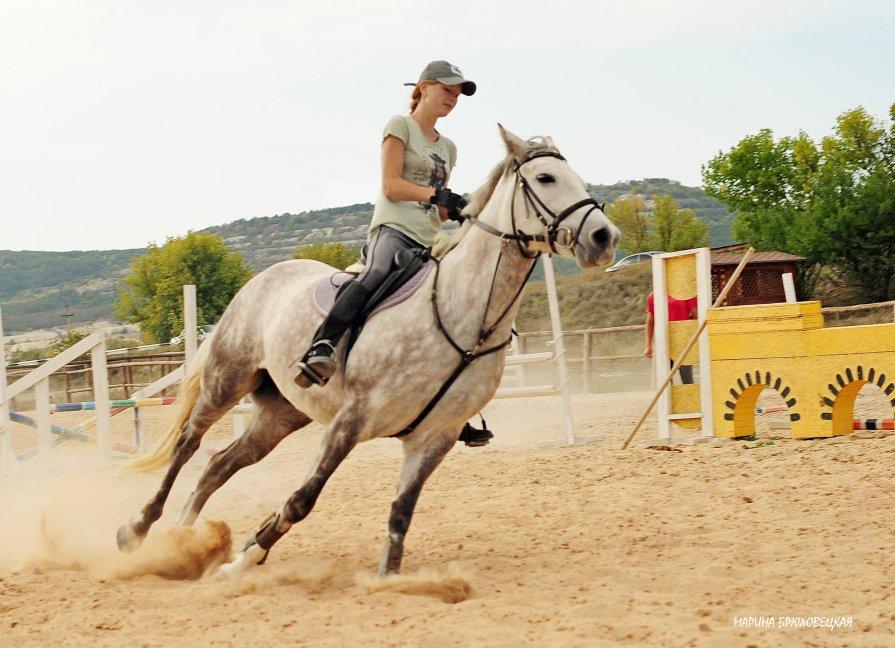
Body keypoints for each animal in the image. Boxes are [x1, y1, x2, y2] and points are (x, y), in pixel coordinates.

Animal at [117, 126, 624, 576]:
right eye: (546, 178)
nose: (604, 237)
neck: (464, 314)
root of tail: (263, 278)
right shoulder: (353, 418)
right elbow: (302, 500)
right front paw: (244, 558)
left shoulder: (435, 437)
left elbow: (400, 514)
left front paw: (390, 579)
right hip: (228, 379)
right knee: (188, 445)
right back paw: (138, 531)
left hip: (281, 413)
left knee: (219, 465)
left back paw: (184, 540)